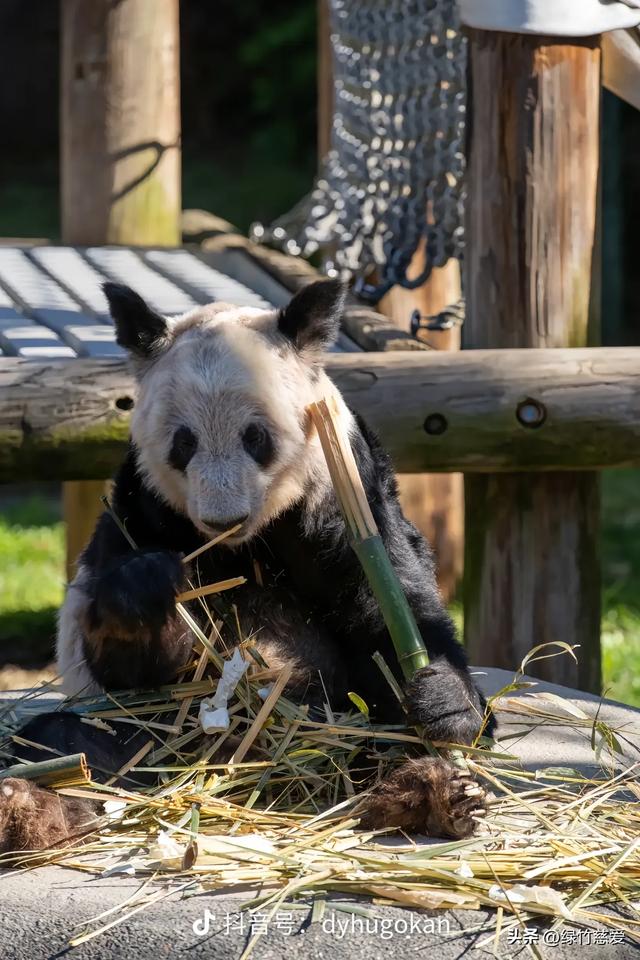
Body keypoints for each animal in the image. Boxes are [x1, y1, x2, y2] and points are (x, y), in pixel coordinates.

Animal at [0, 282, 496, 852]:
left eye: (255, 437)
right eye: (184, 442)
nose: (224, 517)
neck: (249, 541)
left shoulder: (344, 485)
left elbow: (392, 606)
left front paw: (446, 701)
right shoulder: (143, 508)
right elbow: (132, 670)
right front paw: (144, 590)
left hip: (341, 722)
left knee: (380, 736)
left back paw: (434, 792)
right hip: (156, 740)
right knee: (76, 745)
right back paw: (30, 809)